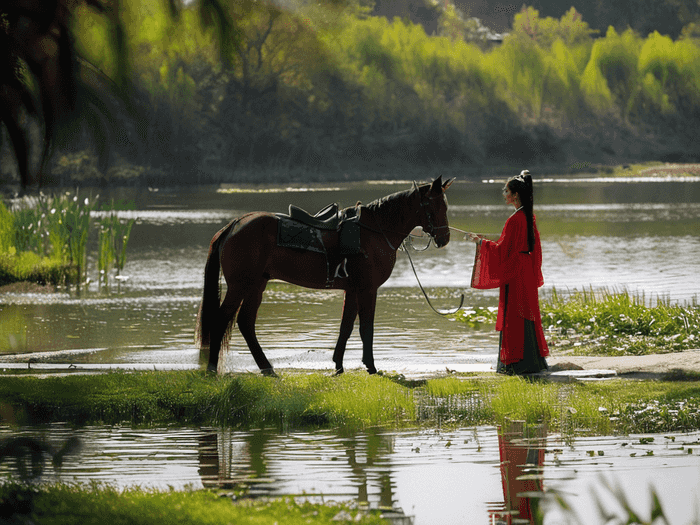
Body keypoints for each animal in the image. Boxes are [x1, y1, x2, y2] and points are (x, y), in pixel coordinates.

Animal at [194, 178, 454, 374]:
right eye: (435, 206)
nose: (444, 238)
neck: (374, 231)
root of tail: (235, 224)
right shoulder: (368, 289)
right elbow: (366, 327)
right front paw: (370, 366)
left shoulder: (352, 289)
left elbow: (346, 327)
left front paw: (338, 365)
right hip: (240, 285)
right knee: (221, 320)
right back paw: (212, 369)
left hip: (257, 284)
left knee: (246, 322)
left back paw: (267, 368)